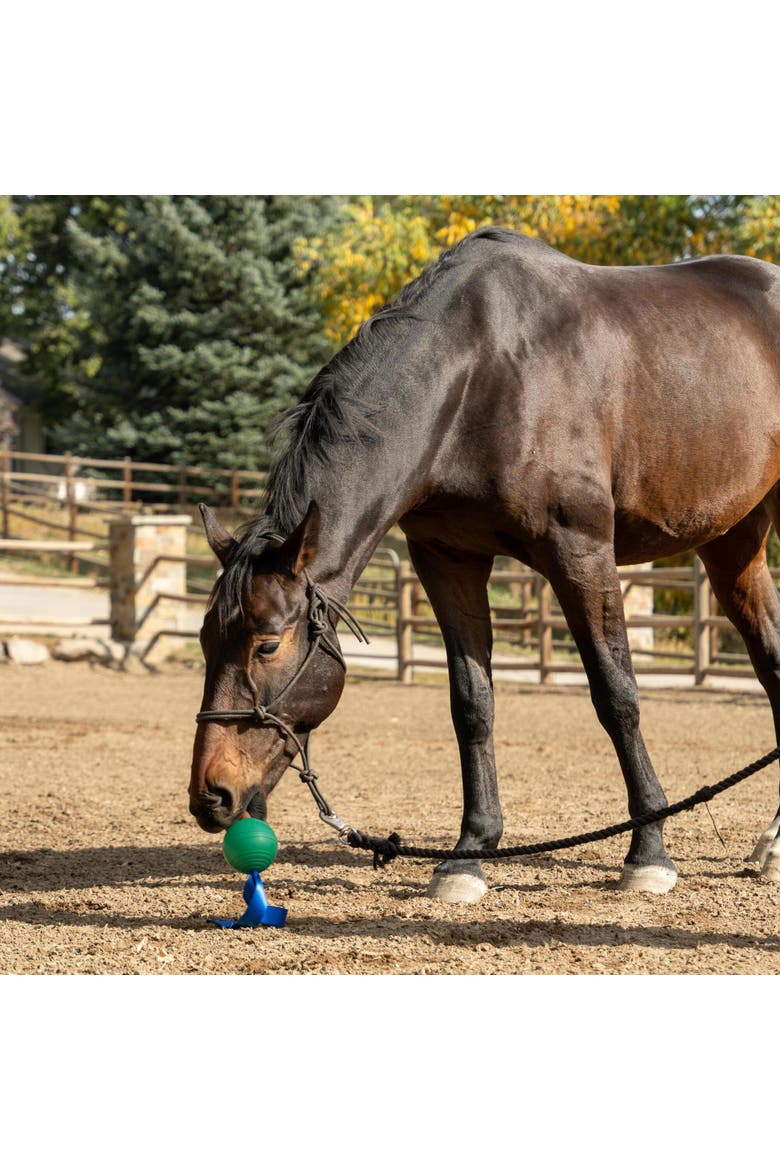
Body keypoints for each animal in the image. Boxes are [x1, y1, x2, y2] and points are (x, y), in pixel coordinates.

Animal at [189, 225, 780, 904]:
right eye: (205, 640)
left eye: (267, 645)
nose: (210, 795)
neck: (480, 376)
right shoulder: (449, 560)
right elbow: (472, 703)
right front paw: (469, 854)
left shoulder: (581, 554)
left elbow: (616, 695)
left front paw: (648, 852)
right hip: (732, 542)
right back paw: (772, 843)